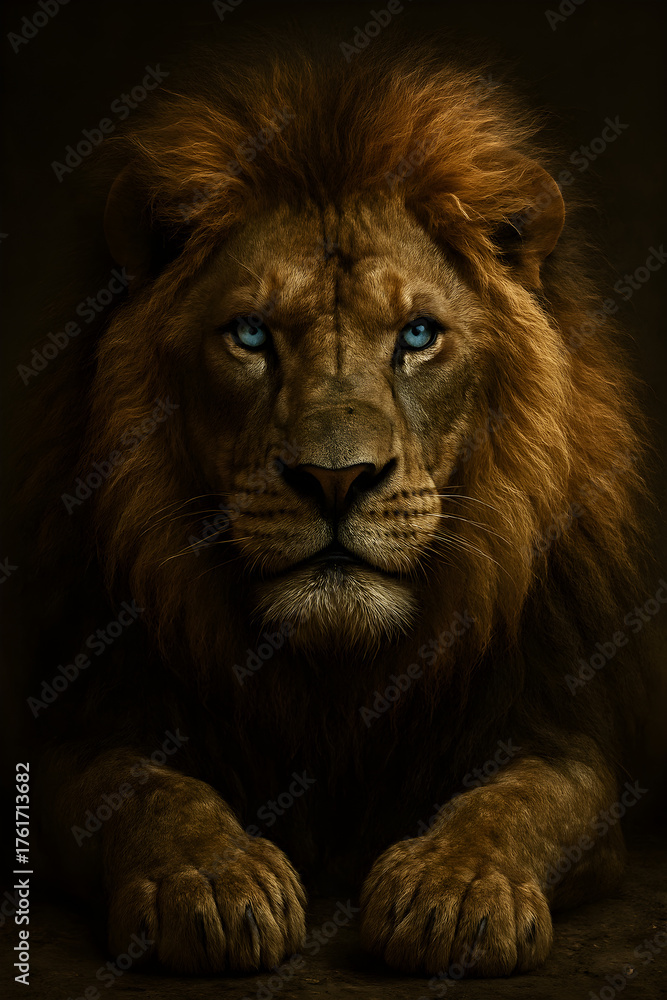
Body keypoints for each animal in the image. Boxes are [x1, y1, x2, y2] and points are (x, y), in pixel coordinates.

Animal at [8, 32, 658, 979]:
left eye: (418, 336)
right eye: (250, 334)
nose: (335, 479)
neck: (335, 678)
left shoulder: (564, 738)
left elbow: (517, 804)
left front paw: (454, 892)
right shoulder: (77, 731)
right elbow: (147, 792)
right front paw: (213, 881)